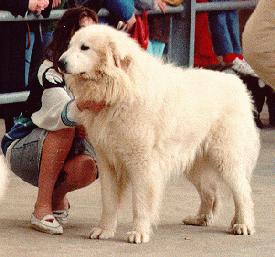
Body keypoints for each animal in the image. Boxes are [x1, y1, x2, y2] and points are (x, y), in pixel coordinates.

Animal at [59, 24, 260, 242]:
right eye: (70, 45)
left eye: (85, 47)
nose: (60, 62)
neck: (121, 89)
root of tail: (237, 84)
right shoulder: (108, 162)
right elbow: (109, 201)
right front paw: (104, 230)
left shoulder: (141, 162)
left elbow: (140, 202)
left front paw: (139, 233)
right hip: (195, 162)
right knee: (211, 192)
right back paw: (200, 219)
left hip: (226, 158)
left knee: (243, 193)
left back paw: (243, 224)